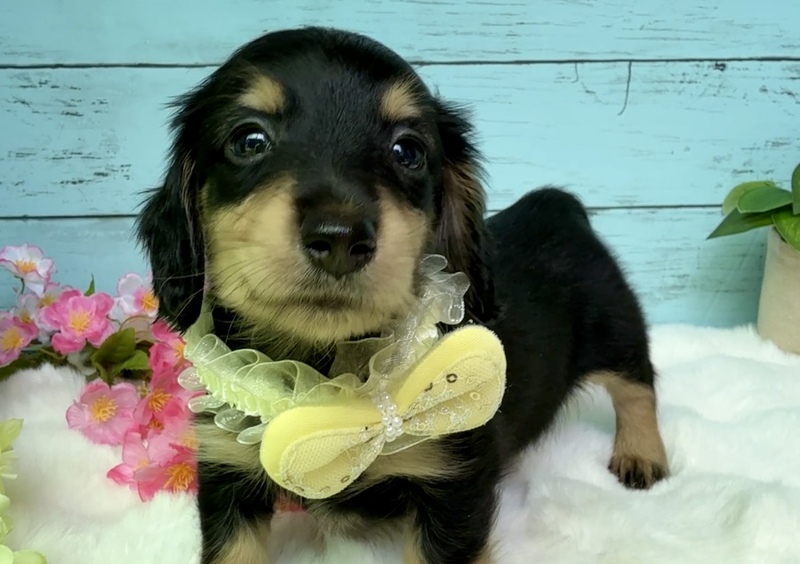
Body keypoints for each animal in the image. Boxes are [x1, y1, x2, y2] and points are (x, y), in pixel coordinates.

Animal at [136, 26, 670, 564]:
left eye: (407, 151)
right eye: (249, 140)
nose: (341, 238)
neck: (327, 373)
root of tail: (556, 205)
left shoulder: (452, 481)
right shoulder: (227, 473)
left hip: (614, 328)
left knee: (638, 383)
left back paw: (641, 454)